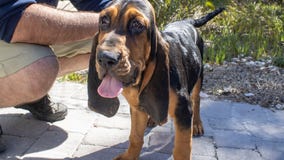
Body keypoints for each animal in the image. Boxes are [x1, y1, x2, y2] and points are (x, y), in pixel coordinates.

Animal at [87, 0, 225, 159]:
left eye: (137, 25)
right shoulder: (137, 108)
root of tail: (186, 21)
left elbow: (182, 149)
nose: (105, 58)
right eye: (104, 20)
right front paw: (129, 156)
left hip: (199, 76)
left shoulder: (183, 111)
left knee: (196, 99)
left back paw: (196, 124)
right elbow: (135, 137)